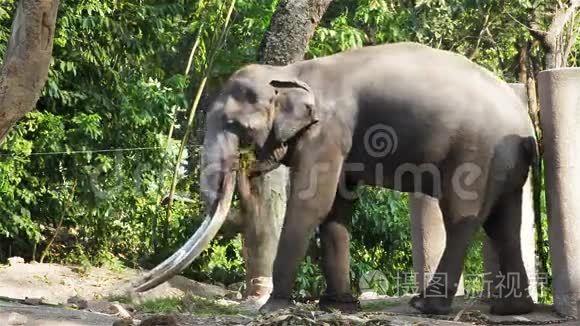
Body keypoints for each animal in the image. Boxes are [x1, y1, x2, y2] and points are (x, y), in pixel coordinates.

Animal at [134, 42, 536, 316]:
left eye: (235, 125)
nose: (138, 286)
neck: (293, 71)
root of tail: (525, 126)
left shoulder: (327, 131)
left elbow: (311, 203)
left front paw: (273, 307)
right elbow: (336, 210)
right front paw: (339, 305)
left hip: (475, 153)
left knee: (463, 217)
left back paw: (427, 306)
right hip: (504, 163)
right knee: (504, 221)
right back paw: (513, 309)